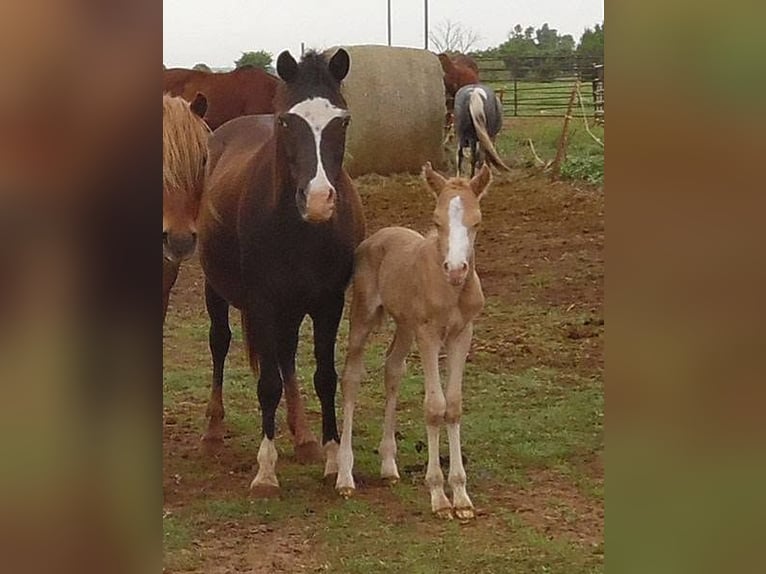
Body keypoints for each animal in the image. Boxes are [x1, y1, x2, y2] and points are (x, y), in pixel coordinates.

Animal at [197, 49, 366, 493]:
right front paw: (266, 470)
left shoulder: (329, 303)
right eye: (287, 121)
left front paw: (331, 457)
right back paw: (213, 432)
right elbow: (267, 384)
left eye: (343, 120)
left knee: (287, 354)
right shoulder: (263, 302)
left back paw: (303, 436)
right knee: (220, 343)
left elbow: (324, 377)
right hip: (217, 290)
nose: (319, 200)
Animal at [335, 162, 491, 520]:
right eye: (436, 221)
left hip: (406, 326)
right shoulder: (428, 334)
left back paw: (389, 466)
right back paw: (345, 476)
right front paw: (439, 497)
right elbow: (434, 408)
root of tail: (378, 235)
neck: (451, 290)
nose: (457, 269)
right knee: (351, 378)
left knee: (393, 369)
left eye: (476, 222)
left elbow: (453, 406)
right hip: (364, 315)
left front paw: (461, 497)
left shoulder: (463, 334)